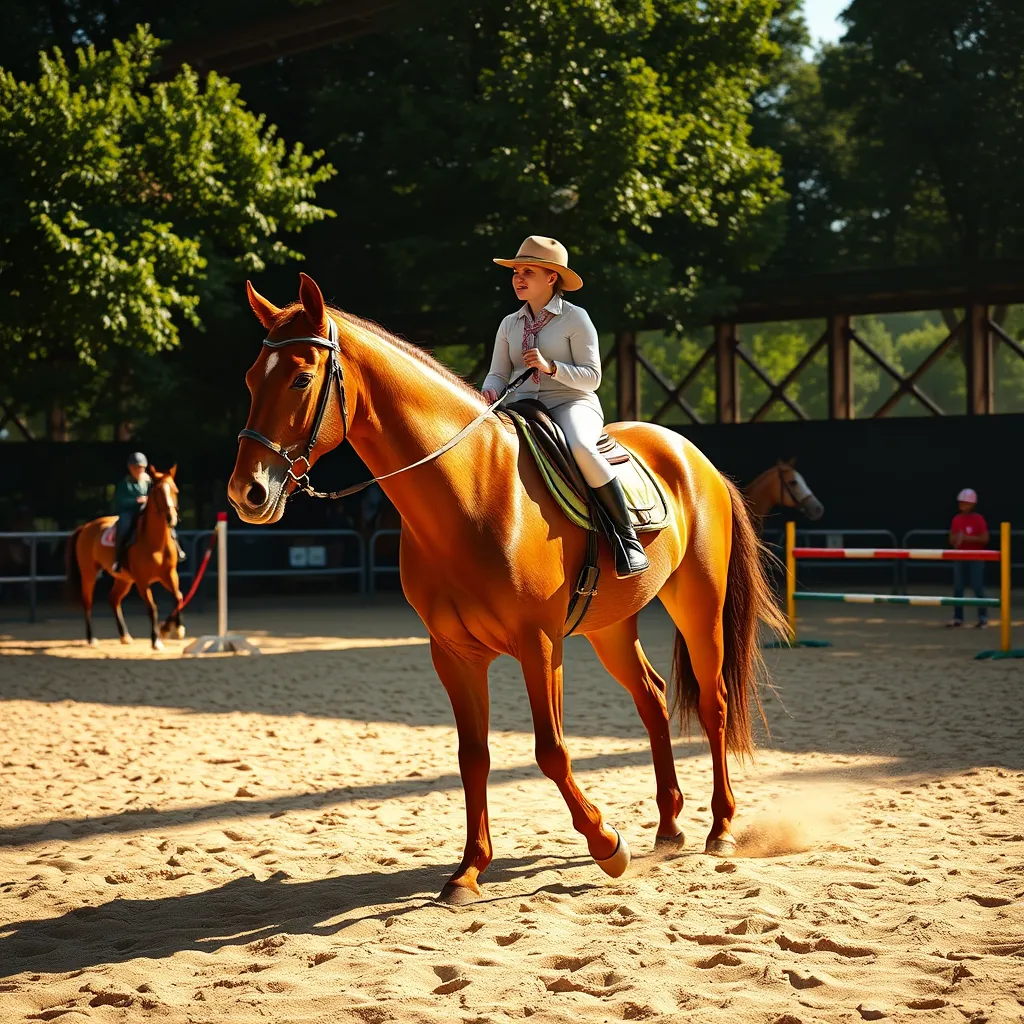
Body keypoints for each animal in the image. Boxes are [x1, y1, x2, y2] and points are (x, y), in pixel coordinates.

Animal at [66, 466, 186, 651]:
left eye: (175, 490)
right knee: (87, 602)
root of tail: (85, 527)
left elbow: (178, 597)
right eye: (157, 492)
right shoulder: (142, 581)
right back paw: (91, 638)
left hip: (124, 580)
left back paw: (125, 636)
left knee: (113, 599)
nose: (171, 518)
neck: (155, 543)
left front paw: (171, 629)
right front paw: (156, 640)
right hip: (89, 575)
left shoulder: (170, 575)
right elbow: (152, 607)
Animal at [227, 273, 785, 904]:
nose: (247, 492)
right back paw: (668, 827)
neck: (472, 490)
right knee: (652, 697)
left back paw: (721, 828)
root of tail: (693, 456)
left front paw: (607, 846)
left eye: (300, 379)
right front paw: (469, 871)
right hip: (611, 627)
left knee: (713, 704)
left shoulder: (539, 643)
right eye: (251, 378)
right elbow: (473, 757)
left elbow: (551, 750)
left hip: (698, 605)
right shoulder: (454, 653)